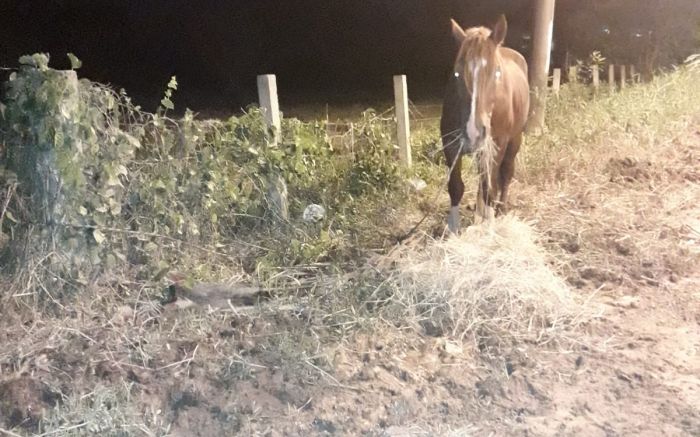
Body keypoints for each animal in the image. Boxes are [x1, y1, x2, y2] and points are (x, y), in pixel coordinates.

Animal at [440, 15, 530, 233]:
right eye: (457, 73)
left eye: (497, 72)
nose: (473, 131)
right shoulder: (450, 145)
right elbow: (455, 186)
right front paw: (453, 229)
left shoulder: (496, 145)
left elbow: (490, 187)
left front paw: (489, 227)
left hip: (514, 140)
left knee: (505, 174)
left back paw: (501, 209)